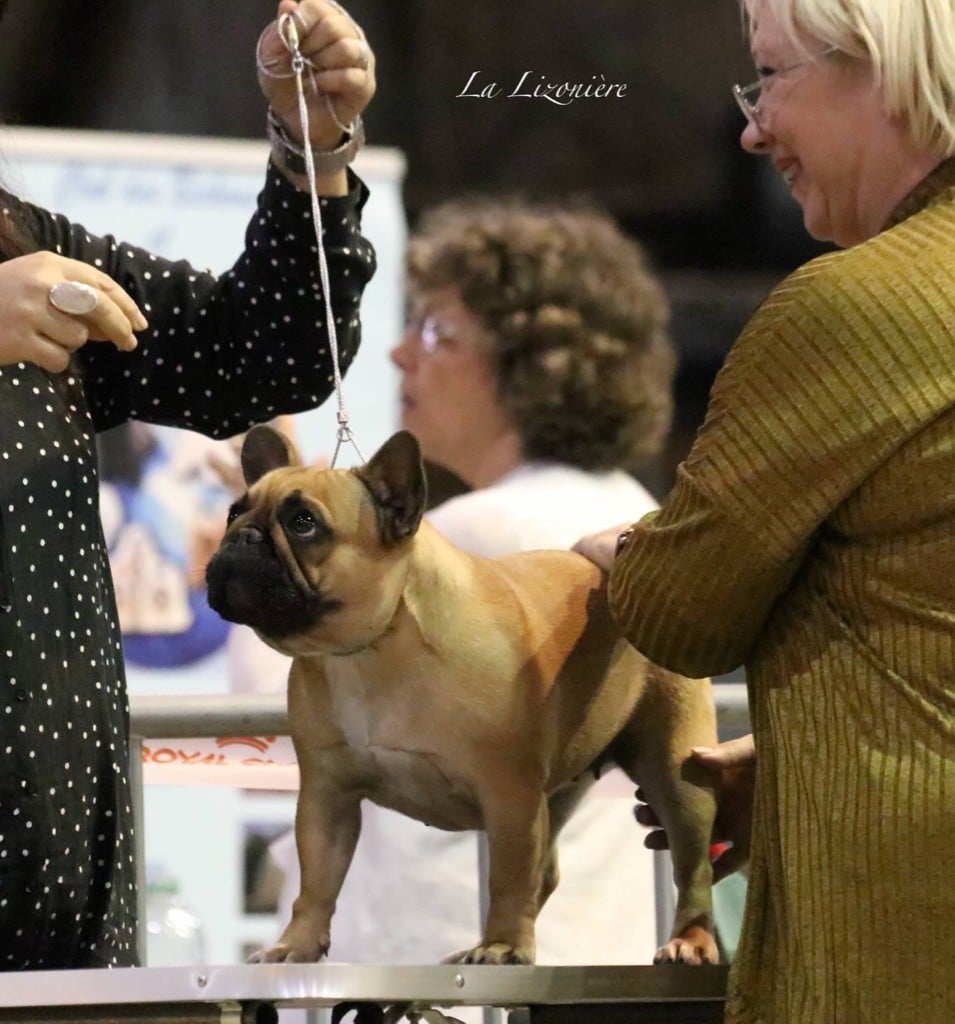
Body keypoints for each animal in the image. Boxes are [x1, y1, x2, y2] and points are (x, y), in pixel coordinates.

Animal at [206, 425, 720, 966]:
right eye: (234, 512)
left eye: (304, 523)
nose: (240, 536)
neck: (372, 650)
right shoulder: (328, 795)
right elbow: (318, 880)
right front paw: (297, 944)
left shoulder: (510, 795)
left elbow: (508, 878)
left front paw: (503, 944)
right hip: (558, 792)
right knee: (546, 871)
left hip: (676, 774)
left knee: (692, 868)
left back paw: (687, 940)